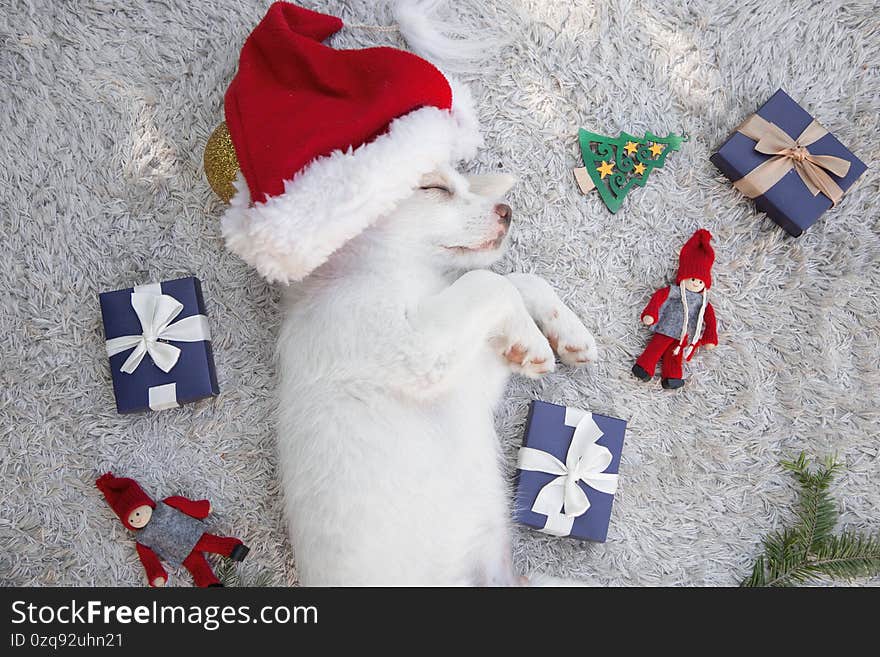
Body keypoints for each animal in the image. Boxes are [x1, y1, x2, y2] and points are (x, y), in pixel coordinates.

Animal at [276, 165, 600, 584]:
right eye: (434, 187)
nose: (507, 211)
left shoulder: (468, 373)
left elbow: (518, 279)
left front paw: (561, 335)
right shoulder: (414, 348)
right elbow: (490, 281)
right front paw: (534, 339)